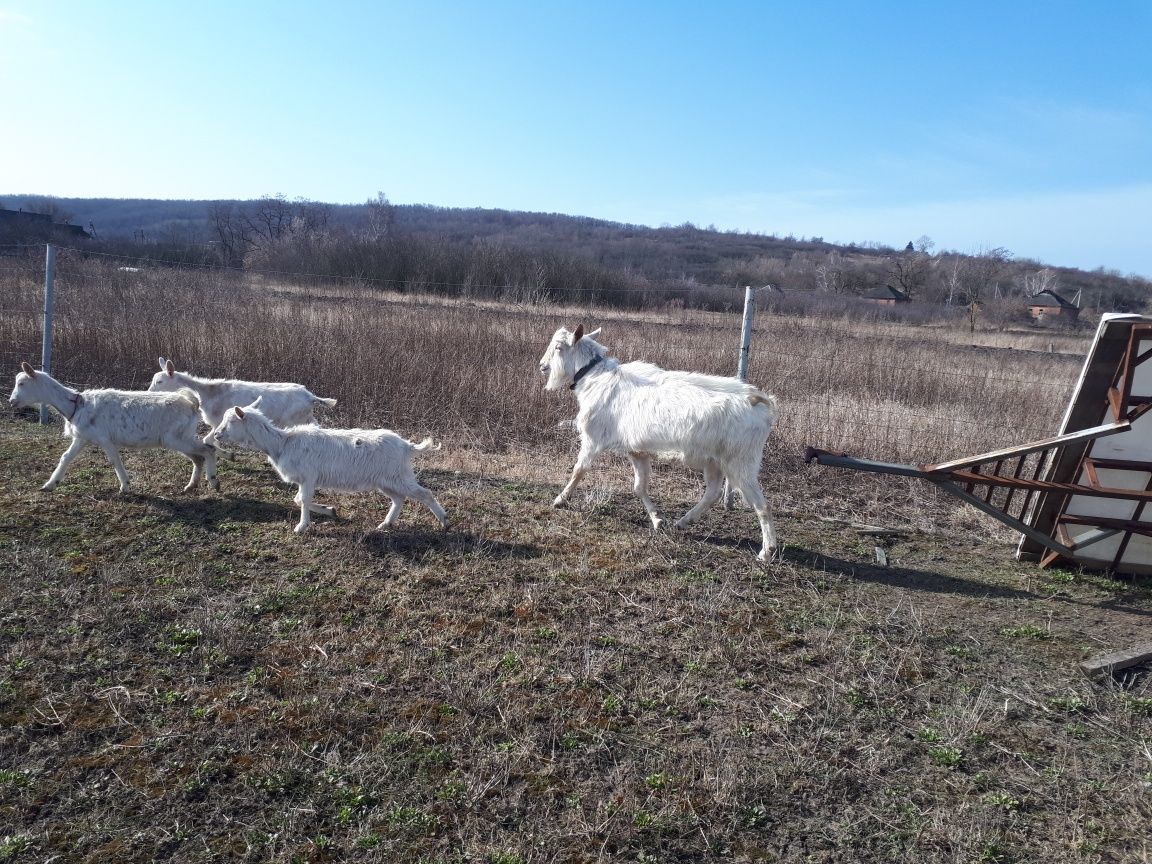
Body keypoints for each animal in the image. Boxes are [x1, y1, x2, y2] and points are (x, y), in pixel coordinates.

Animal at [148, 359, 336, 435]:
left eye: (160, 381)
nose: (149, 393)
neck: (208, 392)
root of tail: (310, 396)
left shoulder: (218, 422)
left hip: (294, 419)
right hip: (306, 416)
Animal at [207, 398, 444, 534]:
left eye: (231, 421)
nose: (217, 434)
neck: (281, 443)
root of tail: (407, 446)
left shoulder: (308, 476)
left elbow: (302, 500)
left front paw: (301, 527)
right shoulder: (304, 479)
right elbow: (298, 499)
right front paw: (330, 510)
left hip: (398, 476)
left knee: (425, 493)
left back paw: (444, 521)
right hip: (386, 480)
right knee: (399, 499)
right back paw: (386, 524)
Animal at [541, 324, 783, 562]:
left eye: (559, 347)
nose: (543, 365)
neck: (595, 377)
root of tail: (757, 400)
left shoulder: (592, 440)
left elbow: (579, 470)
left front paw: (560, 500)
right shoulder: (637, 451)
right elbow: (639, 487)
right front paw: (658, 520)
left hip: (741, 462)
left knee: (762, 505)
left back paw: (766, 551)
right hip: (714, 461)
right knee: (713, 492)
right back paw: (683, 522)